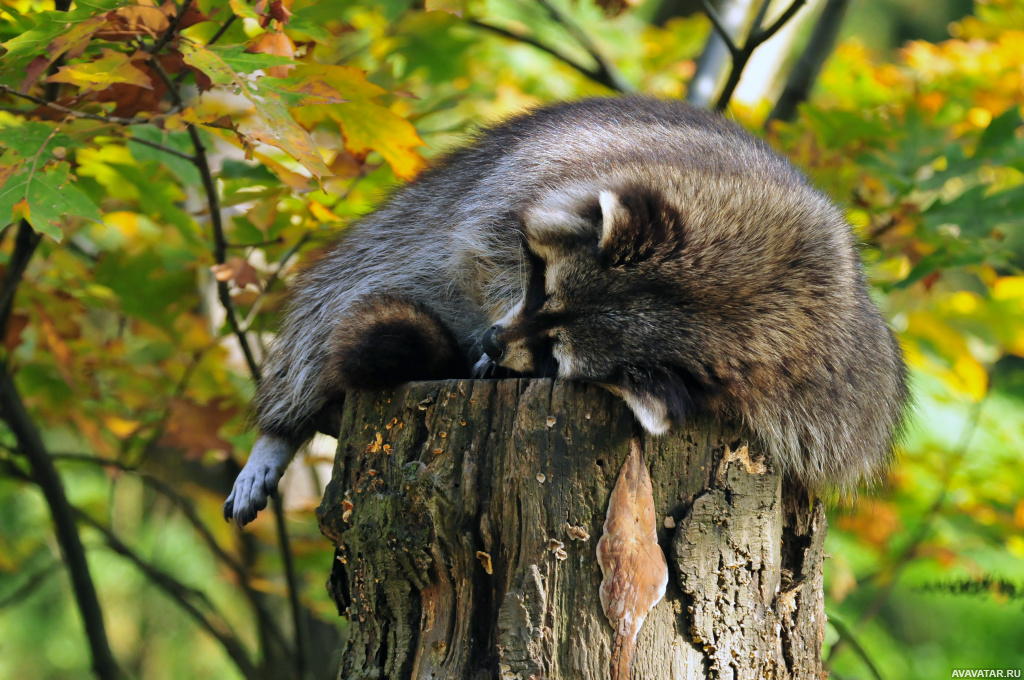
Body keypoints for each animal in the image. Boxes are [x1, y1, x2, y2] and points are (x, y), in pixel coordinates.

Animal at [220, 96, 909, 524]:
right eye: (539, 285)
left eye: (556, 355)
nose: (492, 344)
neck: (755, 288)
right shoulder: (547, 172)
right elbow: (479, 241)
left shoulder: (831, 395)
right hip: (405, 222)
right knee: (341, 301)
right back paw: (282, 427)